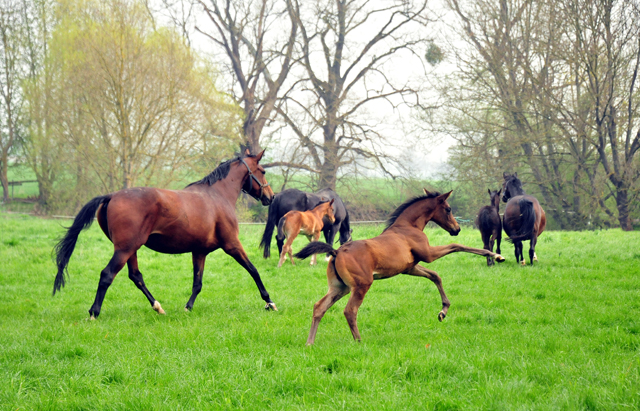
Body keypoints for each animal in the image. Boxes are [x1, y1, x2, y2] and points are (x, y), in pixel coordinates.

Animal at [53, 150, 278, 320]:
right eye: (262, 171)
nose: (271, 197)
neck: (217, 196)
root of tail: (111, 195)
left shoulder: (199, 252)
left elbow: (197, 283)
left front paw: (188, 308)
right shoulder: (232, 244)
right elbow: (254, 270)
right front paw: (270, 302)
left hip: (130, 249)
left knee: (136, 276)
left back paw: (158, 307)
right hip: (125, 249)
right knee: (107, 275)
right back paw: (94, 312)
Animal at [296, 192, 504, 346]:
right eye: (448, 208)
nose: (457, 228)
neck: (408, 227)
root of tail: (336, 251)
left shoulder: (410, 268)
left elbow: (435, 276)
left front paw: (443, 311)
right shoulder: (428, 254)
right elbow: (456, 246)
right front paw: (495, 256)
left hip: (340, 288)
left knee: (319, 307)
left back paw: (309, 343)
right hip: (361, 286)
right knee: (350, 311)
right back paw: (359, 341)